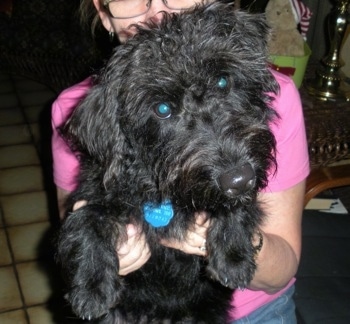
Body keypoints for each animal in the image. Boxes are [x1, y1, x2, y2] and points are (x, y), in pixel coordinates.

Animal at [58, 3, 280, 324]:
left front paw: (234, 255)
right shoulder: (94, 192)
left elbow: (240, 206)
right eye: (162, 109)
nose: (239, 179)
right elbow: (87, 219)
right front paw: (92, 288)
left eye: (223, 81)